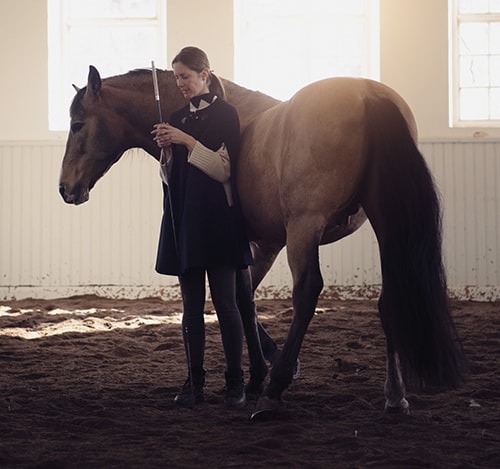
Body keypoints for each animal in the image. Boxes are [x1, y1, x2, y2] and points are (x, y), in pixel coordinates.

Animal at [60, 65, 466, 416]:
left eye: (78, 124)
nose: (65, 188)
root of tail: (367, 95)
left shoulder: (256, 244)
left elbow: (241, 301)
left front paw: (263, 374)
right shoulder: (261, 245)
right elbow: (246, 300)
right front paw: (256, 371)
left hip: (305, 228)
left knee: (306, 293)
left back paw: (275, 390)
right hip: (386, 223)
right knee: (389, 298)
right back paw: (394, 395)